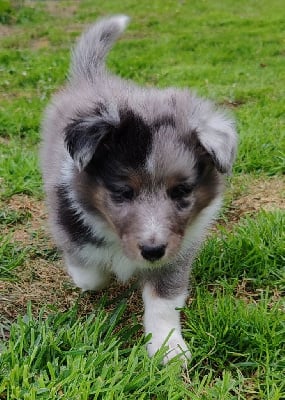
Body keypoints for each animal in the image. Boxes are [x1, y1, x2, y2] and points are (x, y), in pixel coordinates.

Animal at [40, 15, 235, 366]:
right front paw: (104, 274)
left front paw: (168, 348)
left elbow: (163, 300)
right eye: (122, 192)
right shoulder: (69, 221)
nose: (152, 251)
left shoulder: (178, 250)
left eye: (181, 191)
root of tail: (93, 77)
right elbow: (89, 272)